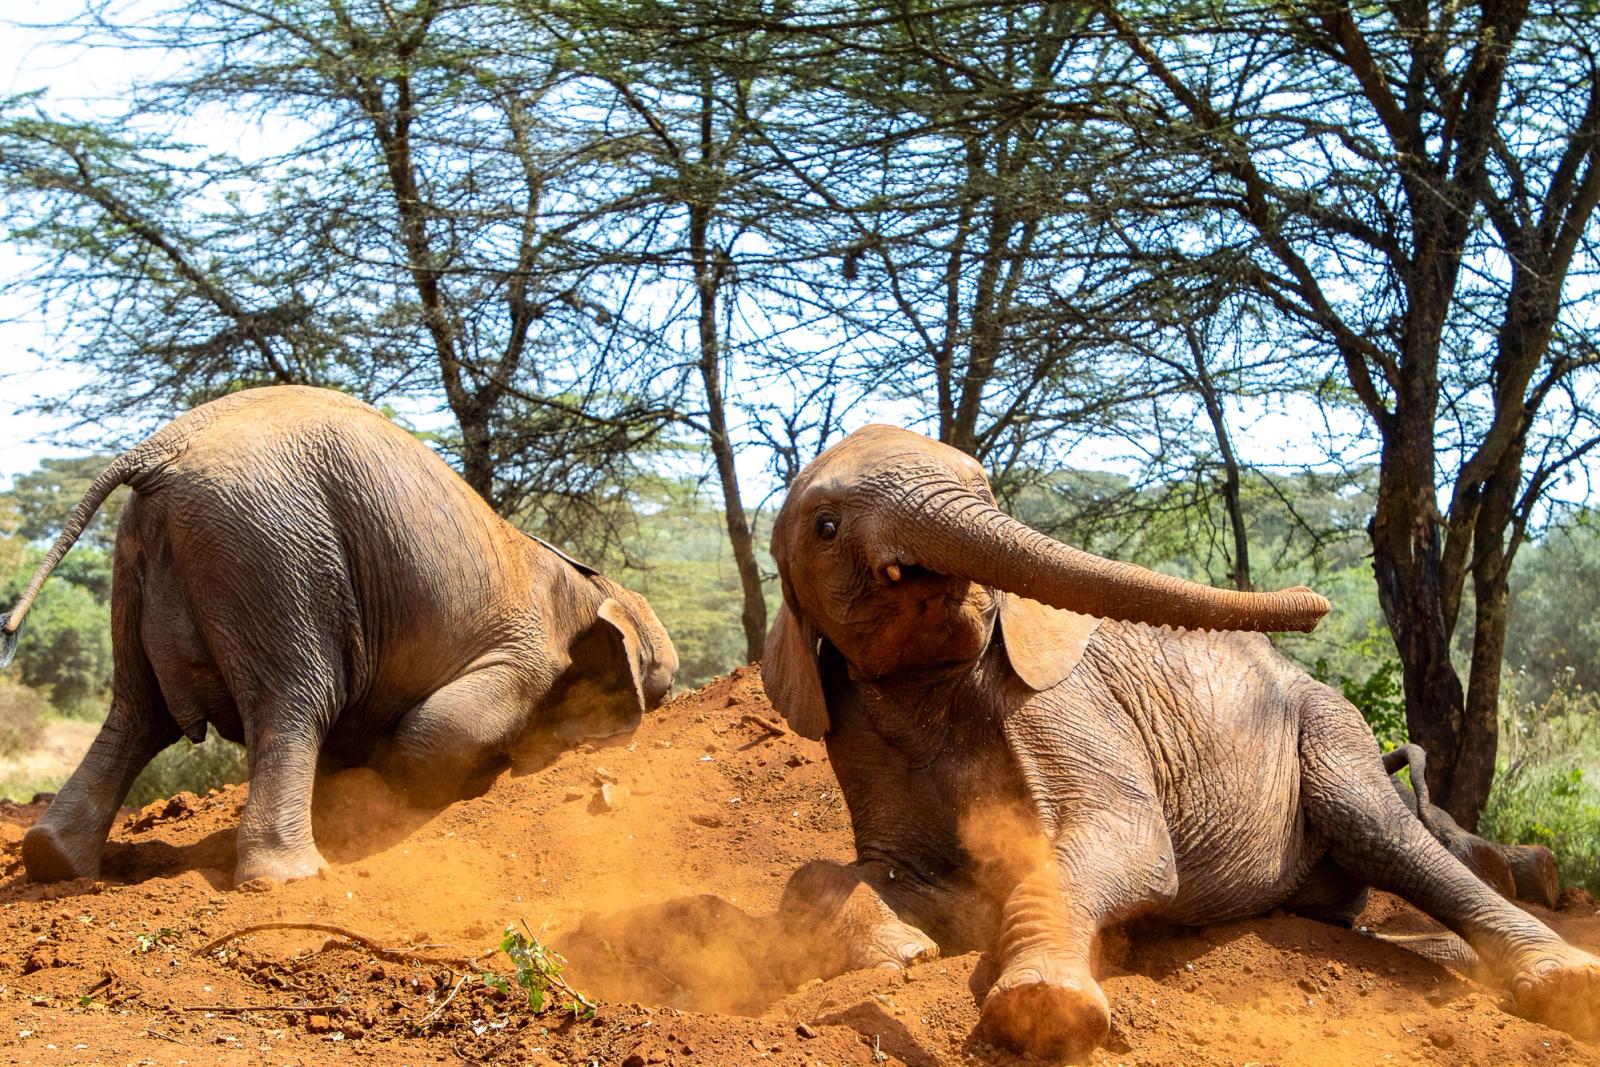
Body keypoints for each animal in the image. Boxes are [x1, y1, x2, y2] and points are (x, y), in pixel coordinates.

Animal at [1, 386, 677, 886]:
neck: (590, 583)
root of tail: (159, 447)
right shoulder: (529, 647)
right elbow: (440, 730)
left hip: (144, 554)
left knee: (136, 714)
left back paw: (55, 863)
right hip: (274, 546)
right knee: (296, 703)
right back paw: (292, 879)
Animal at [761, 424, 1599, 1060]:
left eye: (987, 492)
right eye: (826, 527)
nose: (1318, 606)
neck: (933, 678)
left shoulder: (1065, 696)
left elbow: (1122, 838)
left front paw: (1043, 1009)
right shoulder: (857, 723)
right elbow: (853, 873)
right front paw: (905, 950)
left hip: (1328, 726)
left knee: (1382, 831)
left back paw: (1565, 985)